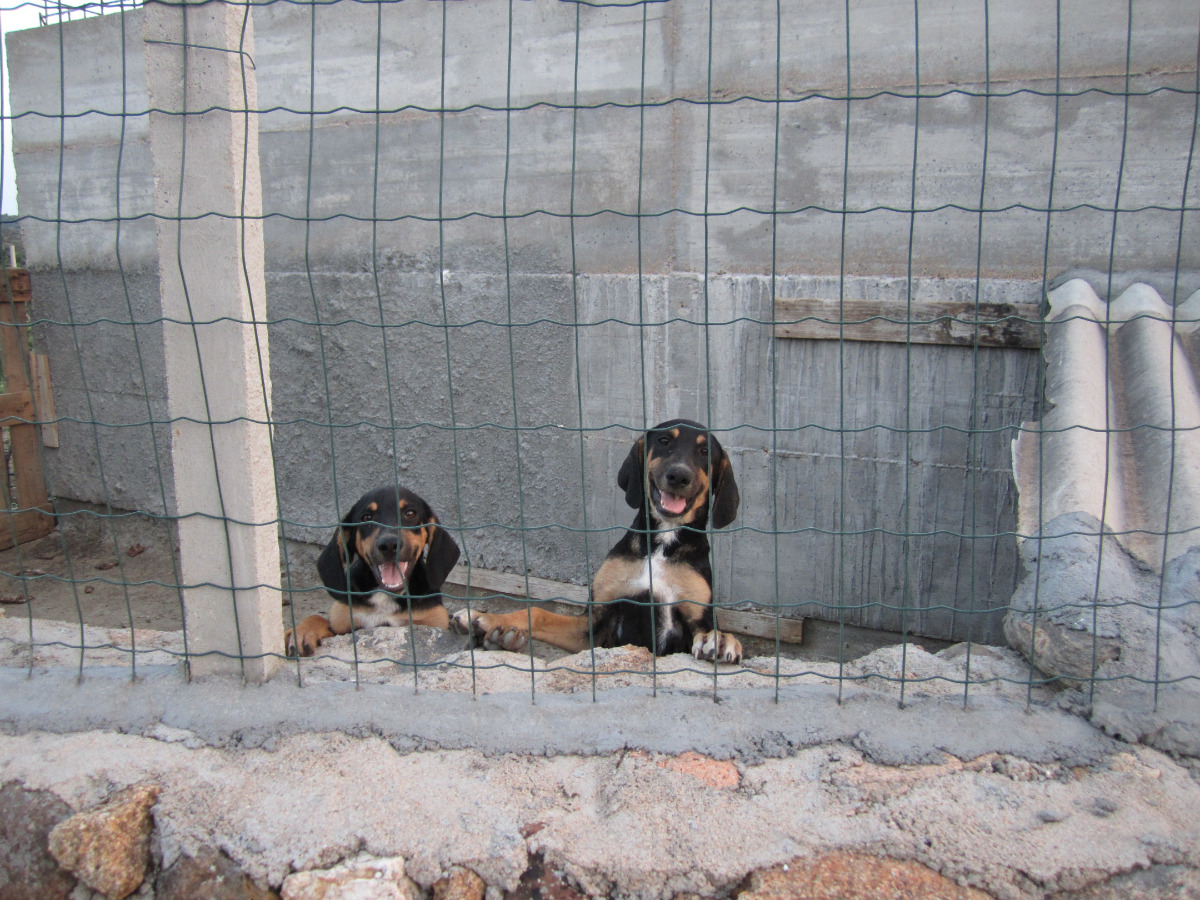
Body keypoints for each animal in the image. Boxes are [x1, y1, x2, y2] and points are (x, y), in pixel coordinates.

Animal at [285, 487, 463, 657]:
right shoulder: (342, 622)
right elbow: (317, 617)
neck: (386, 597)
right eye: (366, 517)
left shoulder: (433, 622)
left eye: (410, 513)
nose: (389, 545)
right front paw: (301, 632)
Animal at [453, 422, 744, 662]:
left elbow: (709, 631)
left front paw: (721, 640)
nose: (679, 476)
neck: (661, 544)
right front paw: (485, 618)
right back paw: (501, 638)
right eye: (664, 441)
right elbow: (537, 612)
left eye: (705, 452)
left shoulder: (694, 618)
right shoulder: (597, 622)